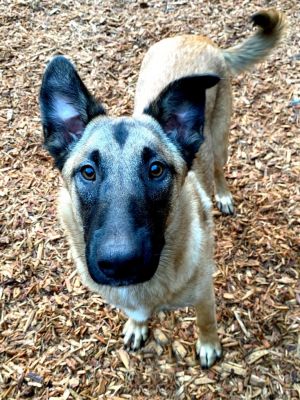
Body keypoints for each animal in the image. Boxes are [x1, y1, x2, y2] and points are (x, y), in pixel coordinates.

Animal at [39, 8, 286, 368]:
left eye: (156, 170)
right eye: (88, 172)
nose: (120, 263)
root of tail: (197, 38)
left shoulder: (204, 293)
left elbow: (206, 321)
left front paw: (208, 345)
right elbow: (136, 315)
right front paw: (137, 326)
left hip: (219, 137)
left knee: (218, 168)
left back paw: (223, 195)